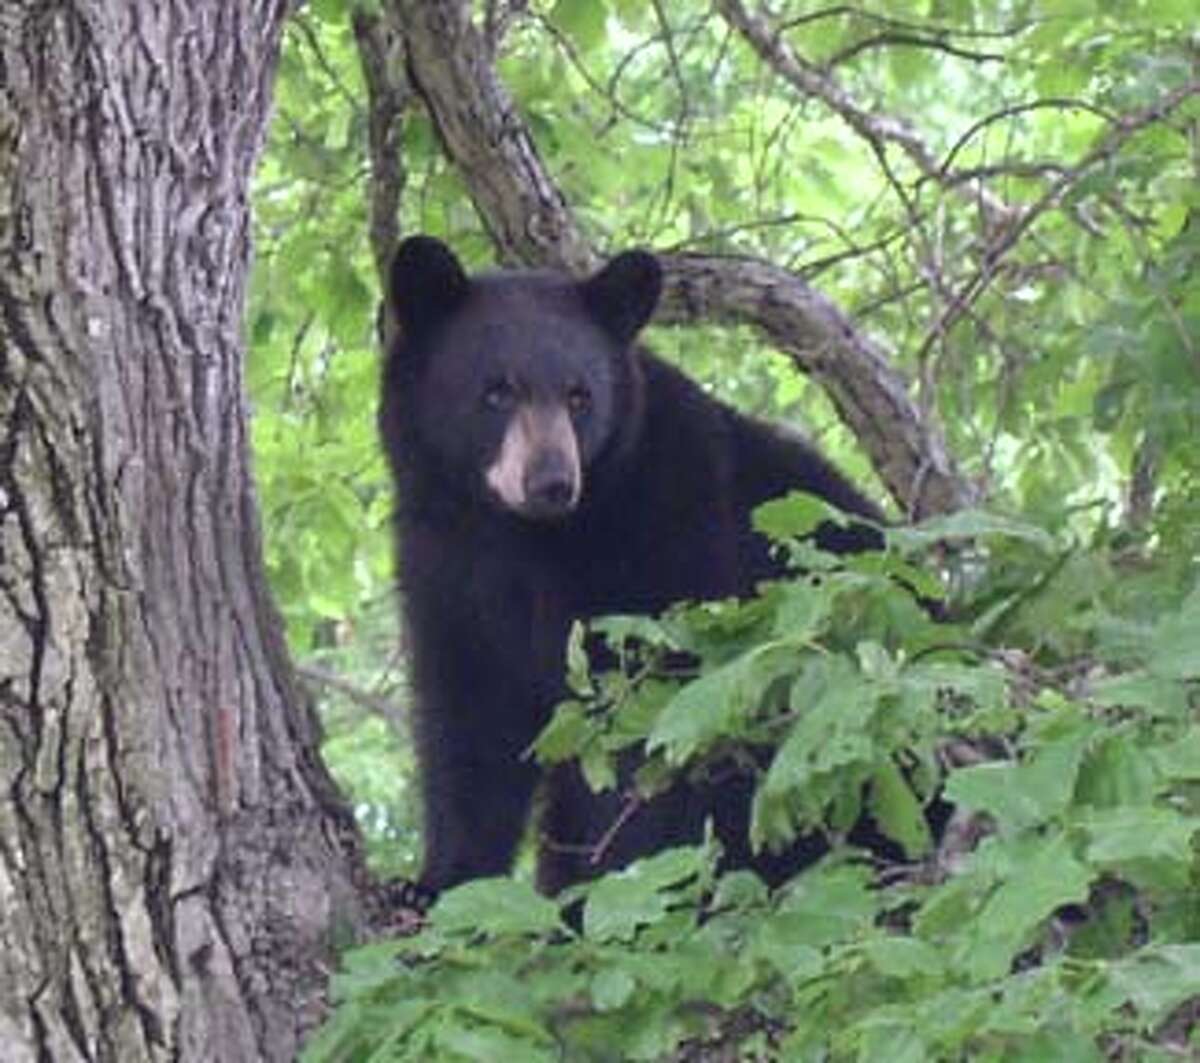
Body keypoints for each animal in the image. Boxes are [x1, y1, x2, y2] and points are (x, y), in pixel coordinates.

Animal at [381, 237, 892, 902]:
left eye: (579, 396)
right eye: (496, 391)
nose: (551, 482)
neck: (522, 537)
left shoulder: (670, 540)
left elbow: (653, 733)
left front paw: (607, 892)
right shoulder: (444, 567)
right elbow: (469, 727)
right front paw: (435, 883)